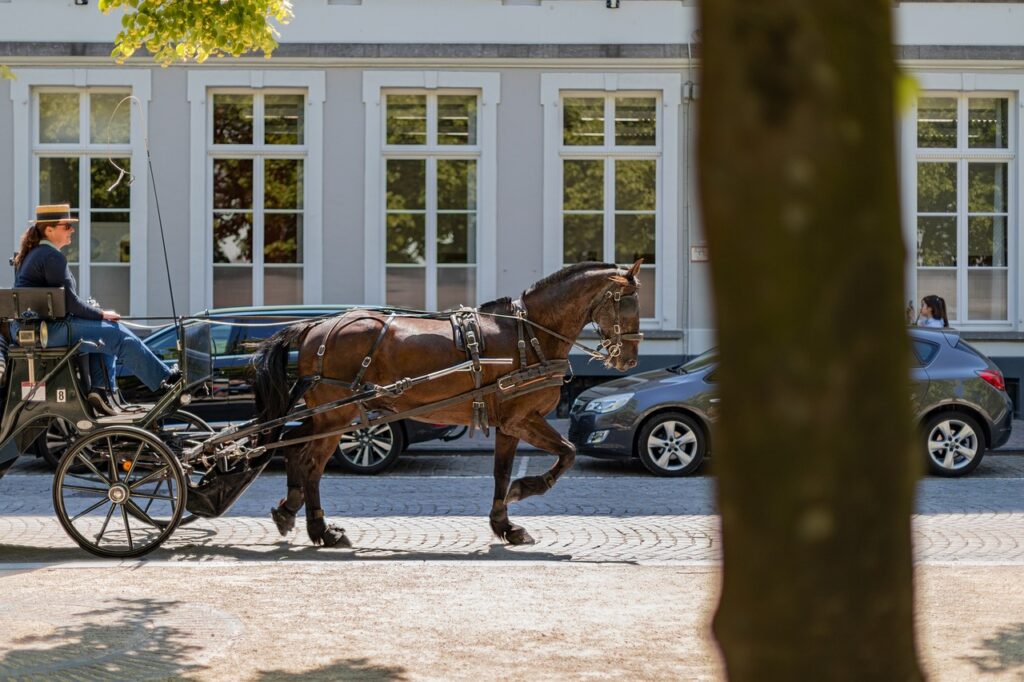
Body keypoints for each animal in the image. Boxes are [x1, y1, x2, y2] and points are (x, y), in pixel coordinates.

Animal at [251, 258, 643, 544]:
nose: (629, 360)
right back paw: (319, 528)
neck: (530, 334)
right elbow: (568, 453)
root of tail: (316, 326)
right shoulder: (523, 418)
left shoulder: (509, 424)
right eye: (628, 305)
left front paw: (504, 524)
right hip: (338, 416)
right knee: (311, 464)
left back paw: (290, 512)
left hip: (327, 415)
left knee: (292, 447)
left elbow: (502, 472)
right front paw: (523, 490)